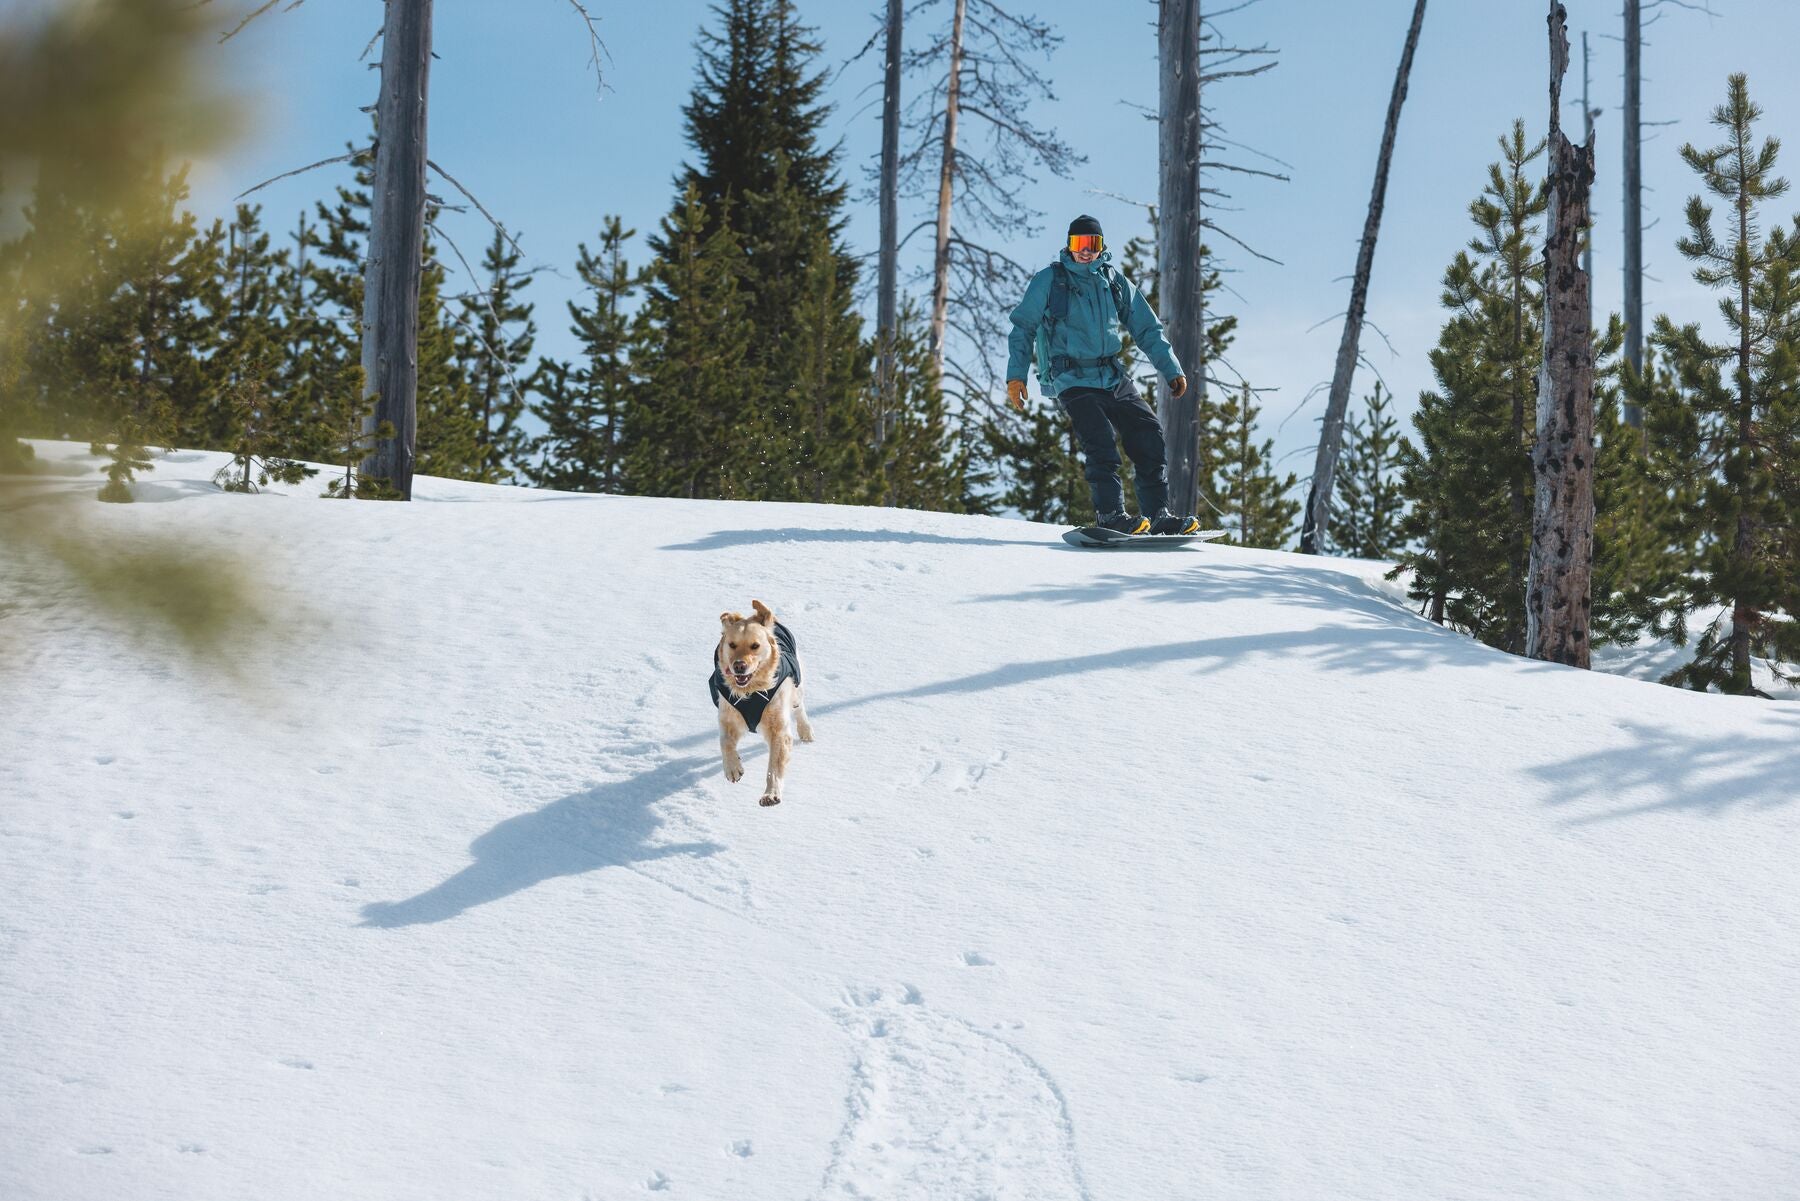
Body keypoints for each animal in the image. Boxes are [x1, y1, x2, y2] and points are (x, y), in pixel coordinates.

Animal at [709, 601, 817, 806]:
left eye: (755, 646)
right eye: (732, 645)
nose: (739, 666)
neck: (750, 691)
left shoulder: (778, 728)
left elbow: (774, 767)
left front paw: (771, 794)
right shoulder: (727, 715)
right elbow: (724, 741)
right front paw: (733, 768)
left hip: (797, 686)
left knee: (799, 707)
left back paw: (806, 731)